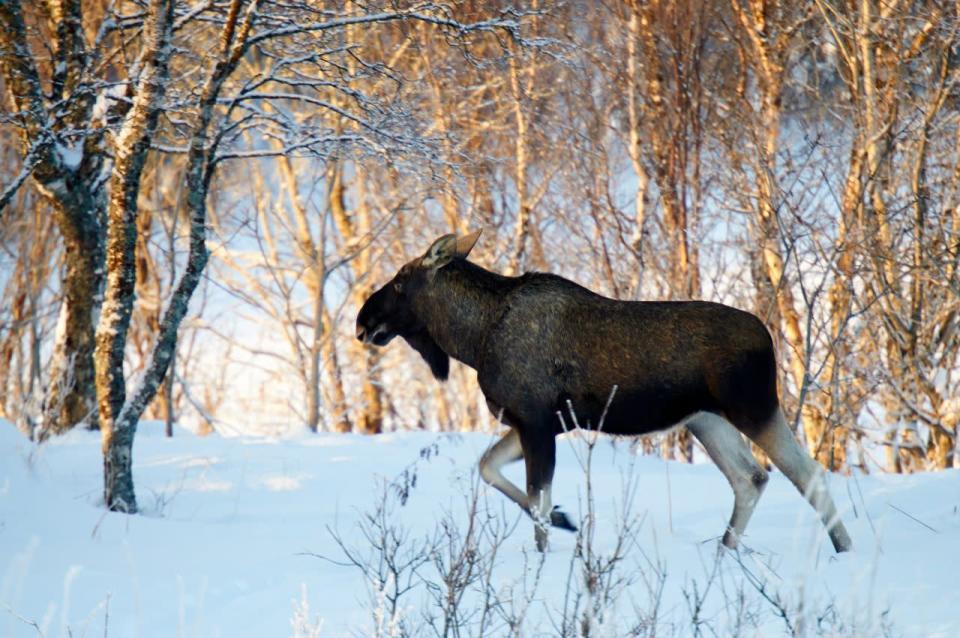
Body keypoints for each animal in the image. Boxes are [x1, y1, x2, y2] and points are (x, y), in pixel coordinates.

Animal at [360, 231, 856, 556]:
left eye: (401, 280)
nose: (363, 319)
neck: (472, 338)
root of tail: (768, 337)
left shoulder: (536, 421)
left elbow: (535, 500)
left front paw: (548, 547)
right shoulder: (540, 423)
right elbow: (489, 469)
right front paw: (565, 519)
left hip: (753, 407)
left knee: (806, 473)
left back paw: (843, 549)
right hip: (705, 419)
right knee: (750, 477)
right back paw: (725, 550)